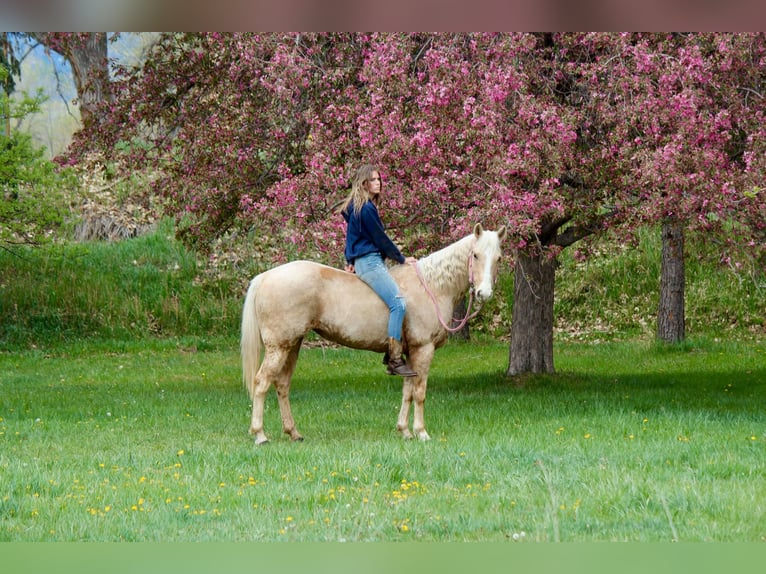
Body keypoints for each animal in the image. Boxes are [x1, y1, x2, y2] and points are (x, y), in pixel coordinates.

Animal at [241, 223, 507, 445]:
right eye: (475, 255)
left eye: (498, 258)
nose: (484, 293)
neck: (431, 286)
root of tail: (265, 277)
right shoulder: (423, 349)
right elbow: (419, 392)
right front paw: (421, 432)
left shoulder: (408, 356)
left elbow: (407, 392)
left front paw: (405, 431)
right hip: (279, 347)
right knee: (261, 382)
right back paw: (260, 434)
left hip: (292, 345)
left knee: (282, 384)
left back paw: (293, 432)